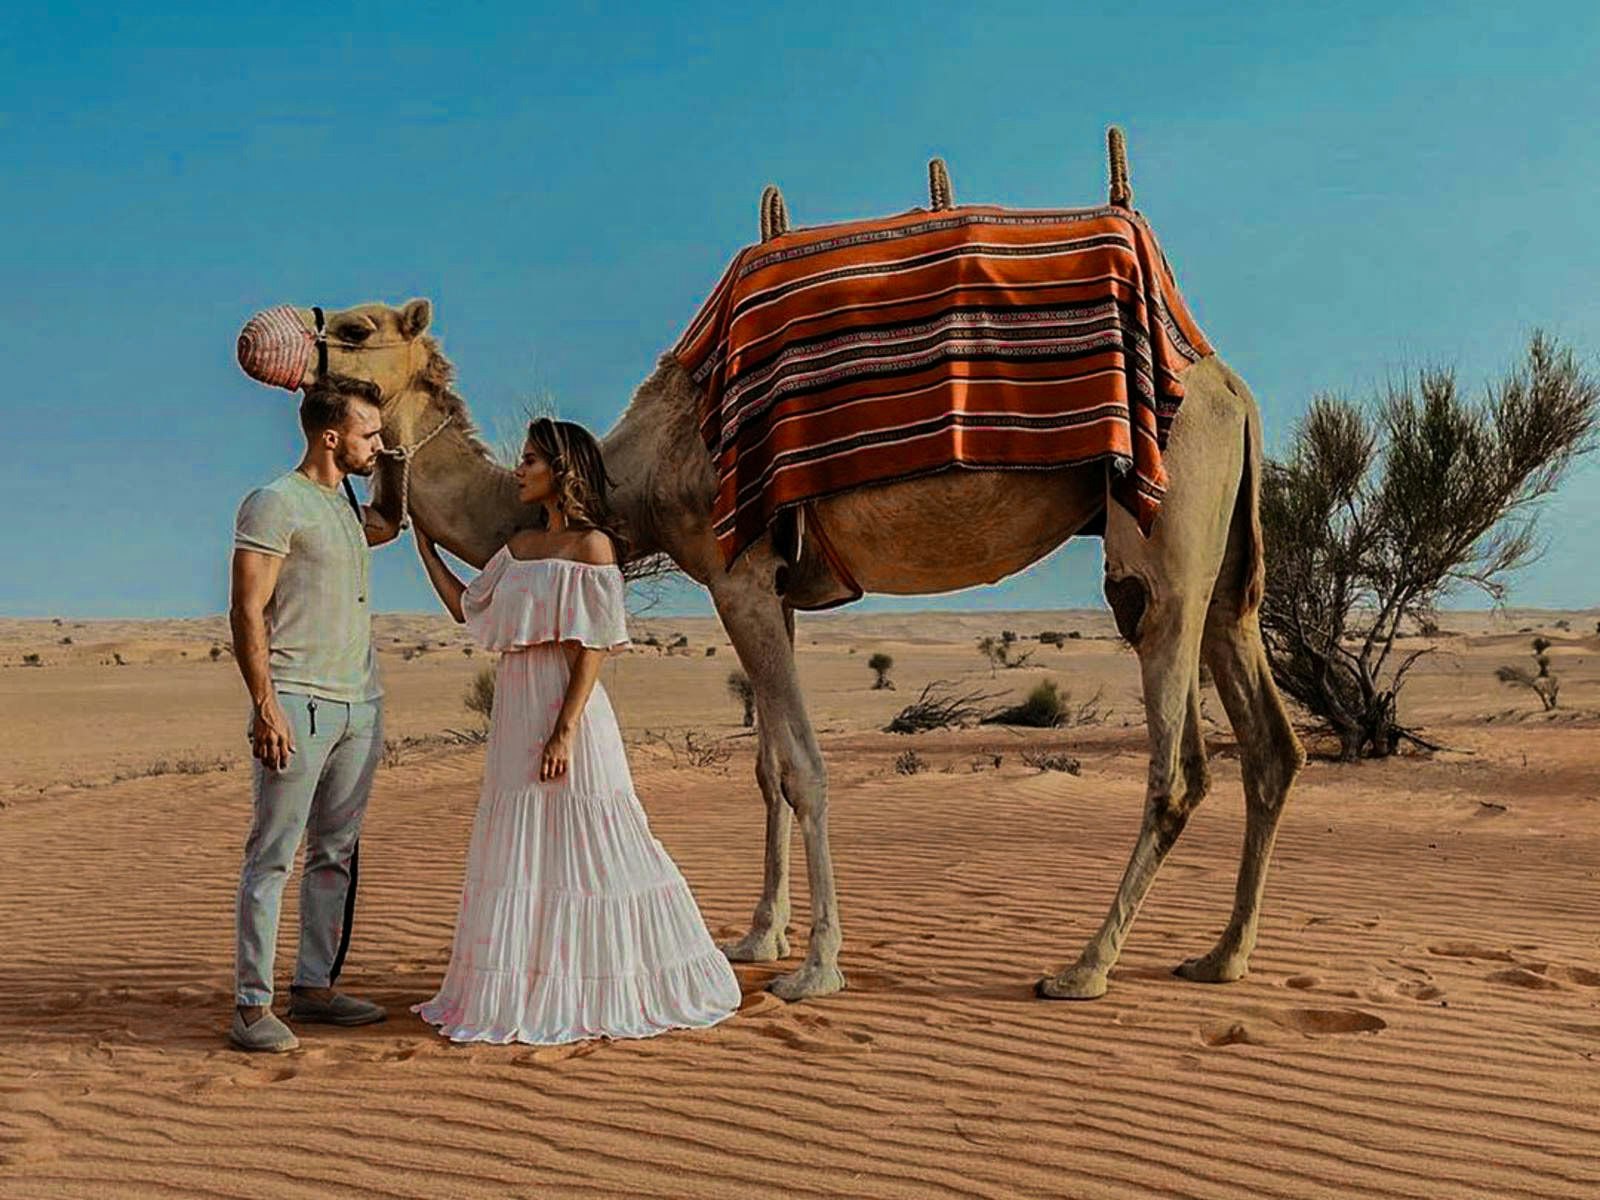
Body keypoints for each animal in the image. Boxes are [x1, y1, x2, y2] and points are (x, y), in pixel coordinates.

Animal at [236, 151, 1303, 1003]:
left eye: (359, 328)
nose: (266, 336)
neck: (633, 471)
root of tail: (1228, 383)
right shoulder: (773, 591)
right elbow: (766, 768)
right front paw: (758, 934)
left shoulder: (737, 573)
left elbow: (804, 768)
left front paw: (814, 968)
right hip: (1228, 564)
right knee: (1270, 743)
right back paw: (1223, 956)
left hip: (1161, 535)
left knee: (1179, 757)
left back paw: (1084, 967)